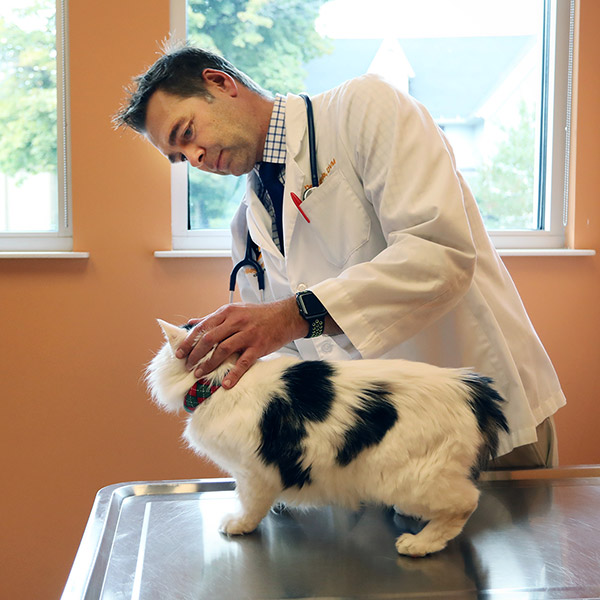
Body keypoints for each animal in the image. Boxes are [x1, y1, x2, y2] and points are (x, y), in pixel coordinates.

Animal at [145, 322, 506, 556]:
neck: (221, 382)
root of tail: (474, 388)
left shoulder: (252, 472)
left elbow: (249, 504)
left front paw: (240, 524)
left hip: (407, 477)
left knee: (466, 503)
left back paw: (421, 543)